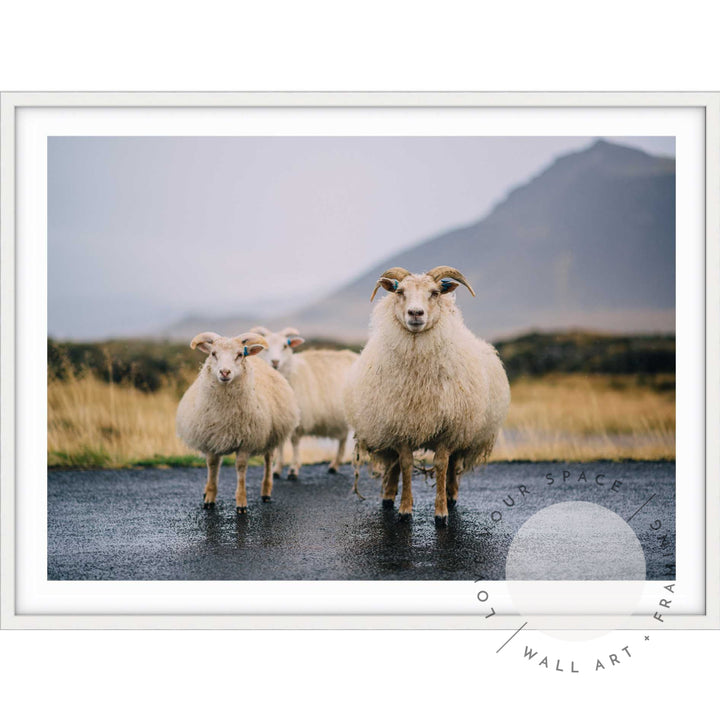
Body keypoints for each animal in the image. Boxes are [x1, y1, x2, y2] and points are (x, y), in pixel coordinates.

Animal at [177, 330, 300, 512]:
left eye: (240, 354)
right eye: (213, 354)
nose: (224, 372)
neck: (225, 411)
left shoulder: (245, 441)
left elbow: (241, 469)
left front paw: (241, 502)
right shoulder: (211, 439)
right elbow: (212, 466)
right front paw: (210, 498)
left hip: (271, 435)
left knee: (268, 461)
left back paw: (266, 491)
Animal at [250, 326, 360, 478]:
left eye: (285, 346)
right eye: (266, 347)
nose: (275, 362)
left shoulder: (300, 419)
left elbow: (295, 442)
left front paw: (293, 469)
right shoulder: (283, 417)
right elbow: (281, 444)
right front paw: (277, 469)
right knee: (343, 439)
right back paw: (334, 465)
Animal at [344, 268, 510, 524]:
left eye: (435, 292)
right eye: (400, 292)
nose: (415, 313)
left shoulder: (448, 429)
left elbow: (442, 465)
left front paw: (441, 512)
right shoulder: (401, 426)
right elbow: (405, 464)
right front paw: (404, 509)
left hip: (464, 430)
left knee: (453, 463)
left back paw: (451, 495)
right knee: (393, 463)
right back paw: (388, 496)